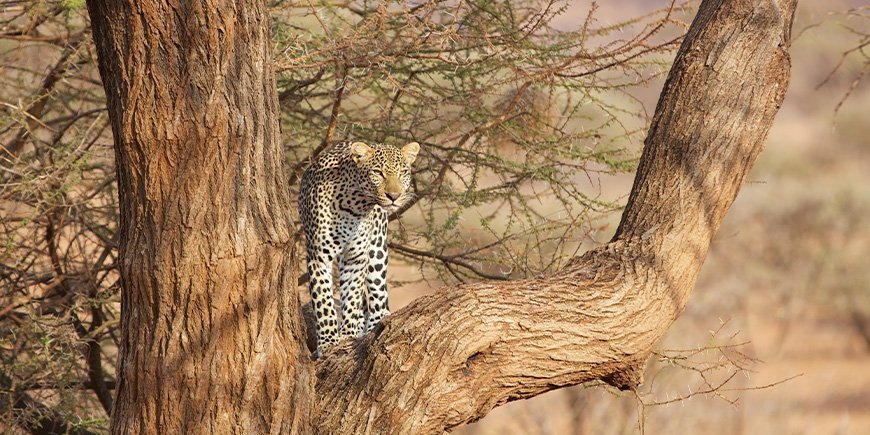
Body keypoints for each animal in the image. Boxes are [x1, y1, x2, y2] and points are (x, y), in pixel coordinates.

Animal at [298, 140, 421, 355]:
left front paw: (348, 333)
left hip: (377, 251)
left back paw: (374, 329)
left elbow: (352, 295)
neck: (354, 206)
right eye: (378, 172)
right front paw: (328, 340)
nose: (394, 196)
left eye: (403, 172)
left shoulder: (356, 257)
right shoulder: (318, 256)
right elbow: (323, 299)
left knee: (378, 297)